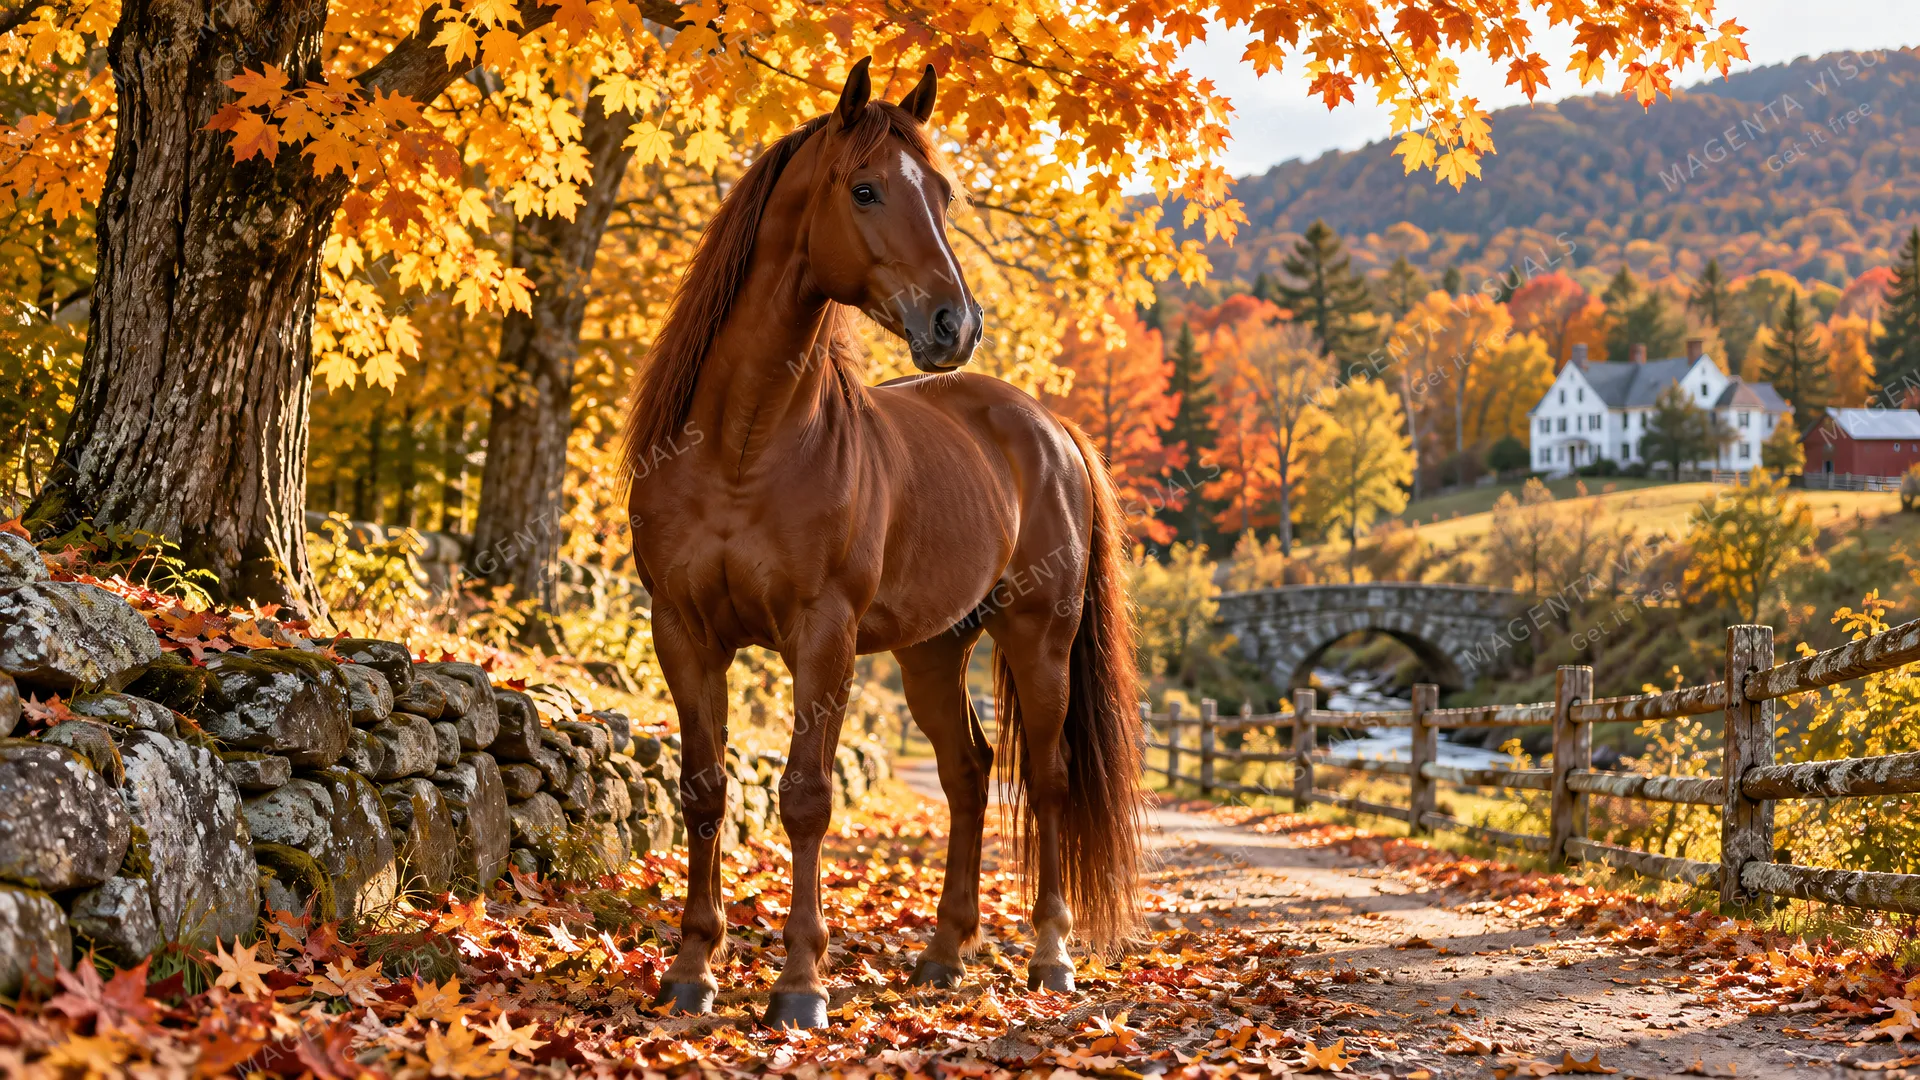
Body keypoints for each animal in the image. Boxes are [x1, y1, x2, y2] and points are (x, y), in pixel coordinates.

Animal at [621, 57, 1144, 1029]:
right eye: (864, 189)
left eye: (939, 192)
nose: (954, 324)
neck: (742, 446)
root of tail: (1048, 428)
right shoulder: (683, 632)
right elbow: (704, 790)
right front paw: (692, 968)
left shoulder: (822, 637)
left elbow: (804, 797)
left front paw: (799, 984)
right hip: (933, 652)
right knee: (969, 773)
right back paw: (944, 953)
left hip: (1039, 640)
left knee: (1049, 781)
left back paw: (1049, 956)